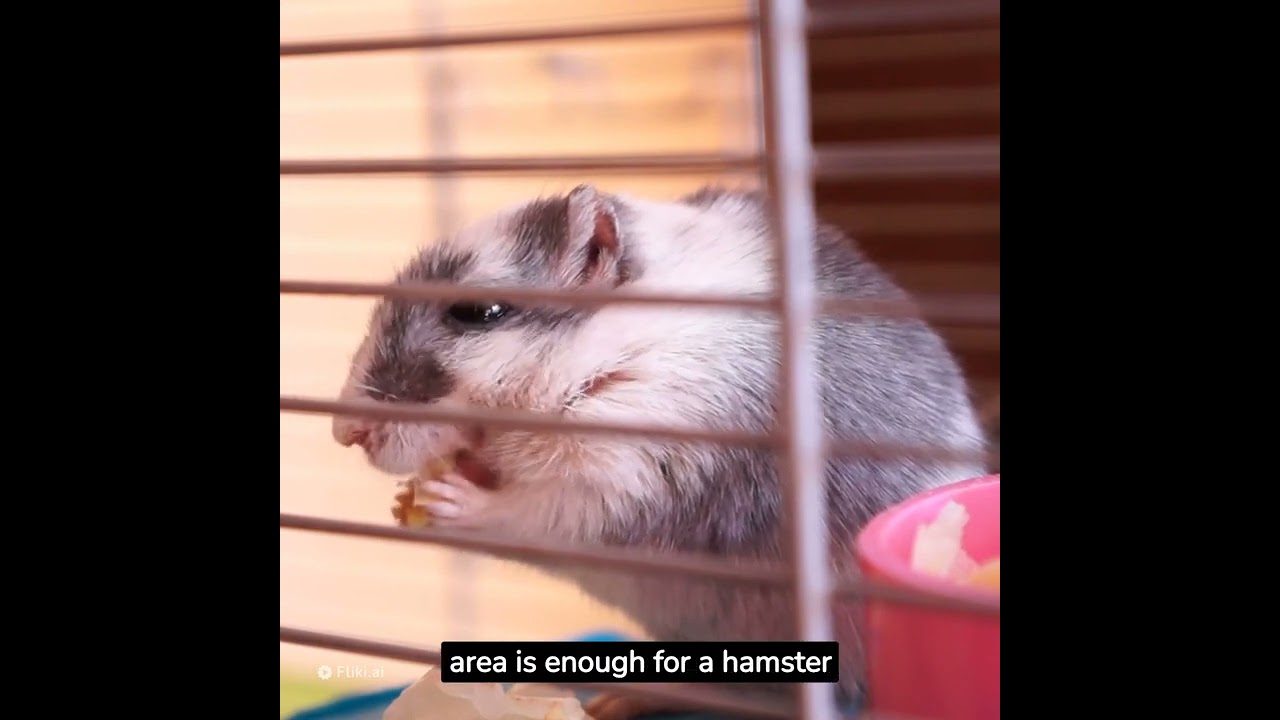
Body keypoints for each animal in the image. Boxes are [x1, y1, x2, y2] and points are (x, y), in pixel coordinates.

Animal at [331, 184, 987, 719]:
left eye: (478, 311)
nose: (343, 433)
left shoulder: (633, 464)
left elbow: (538, 513)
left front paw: (446, 498)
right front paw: (405, 501)